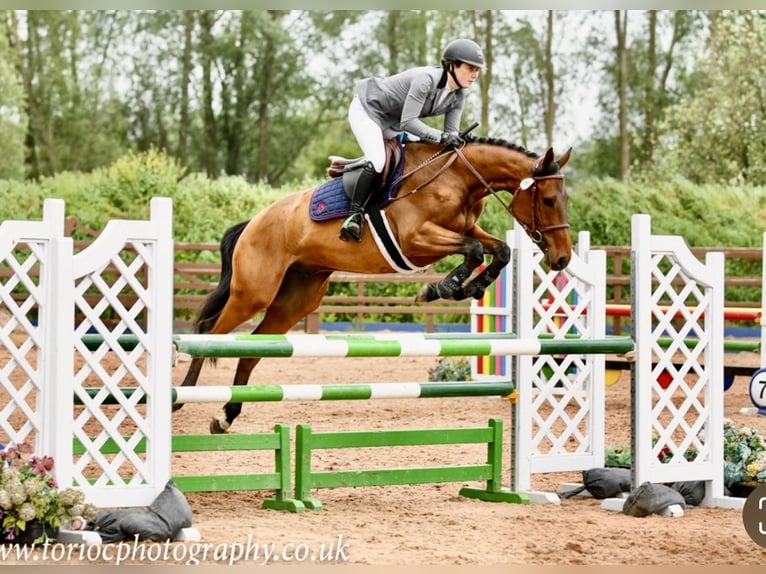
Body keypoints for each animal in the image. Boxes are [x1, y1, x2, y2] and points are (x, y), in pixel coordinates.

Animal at [180, 136, 572, 432]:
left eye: (565, 200)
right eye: (548, 200)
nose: (563, 259)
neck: (457, 179)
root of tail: (252, 223)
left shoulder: (465, 230)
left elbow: (499, 250)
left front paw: (463, 288)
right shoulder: (417, 239)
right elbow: (474, 251)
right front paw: (442, 289)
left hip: (294, 302)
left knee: (250, 351)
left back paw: (226, 416)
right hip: (252, 293)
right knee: (209, 335)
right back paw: (181, 396)